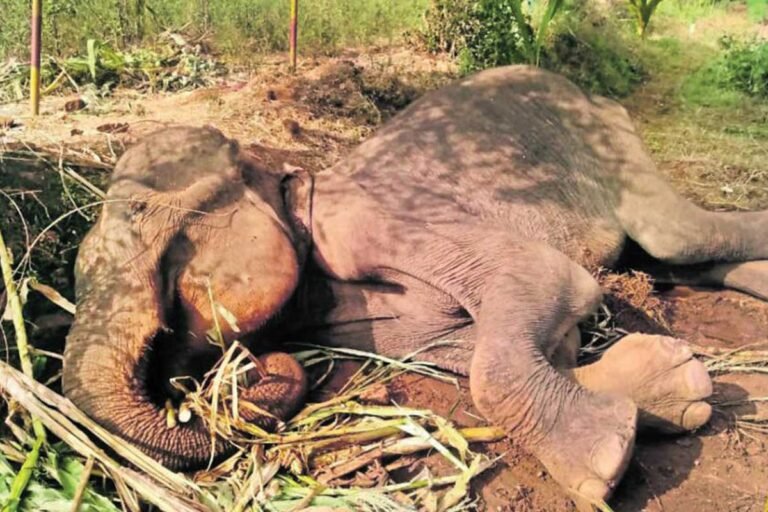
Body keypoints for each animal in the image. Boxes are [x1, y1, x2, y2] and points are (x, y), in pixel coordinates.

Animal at [63, 65, 768, 507]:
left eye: (163, 240)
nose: (258, 368)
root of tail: (592, 94)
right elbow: (518, 342)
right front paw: (675, 388)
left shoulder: (374, 220)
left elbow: (546, 280)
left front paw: (602, 467)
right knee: (673, 259)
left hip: (611, 146)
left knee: (676, 235)